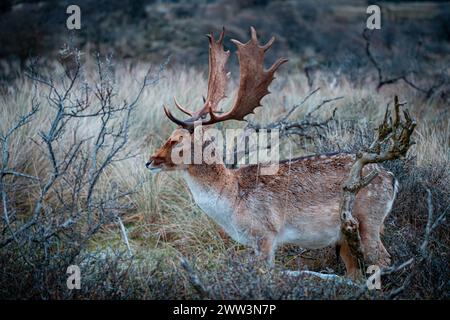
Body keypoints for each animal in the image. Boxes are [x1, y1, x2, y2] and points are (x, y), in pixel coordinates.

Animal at [146, 27, 396, 278]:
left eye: (178, 140)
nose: (150, 161)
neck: (231, 200)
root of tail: (392, 178)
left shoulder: (265, 232)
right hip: (346, 236)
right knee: (355, 271)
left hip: (368, 219)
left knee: (384, 259)